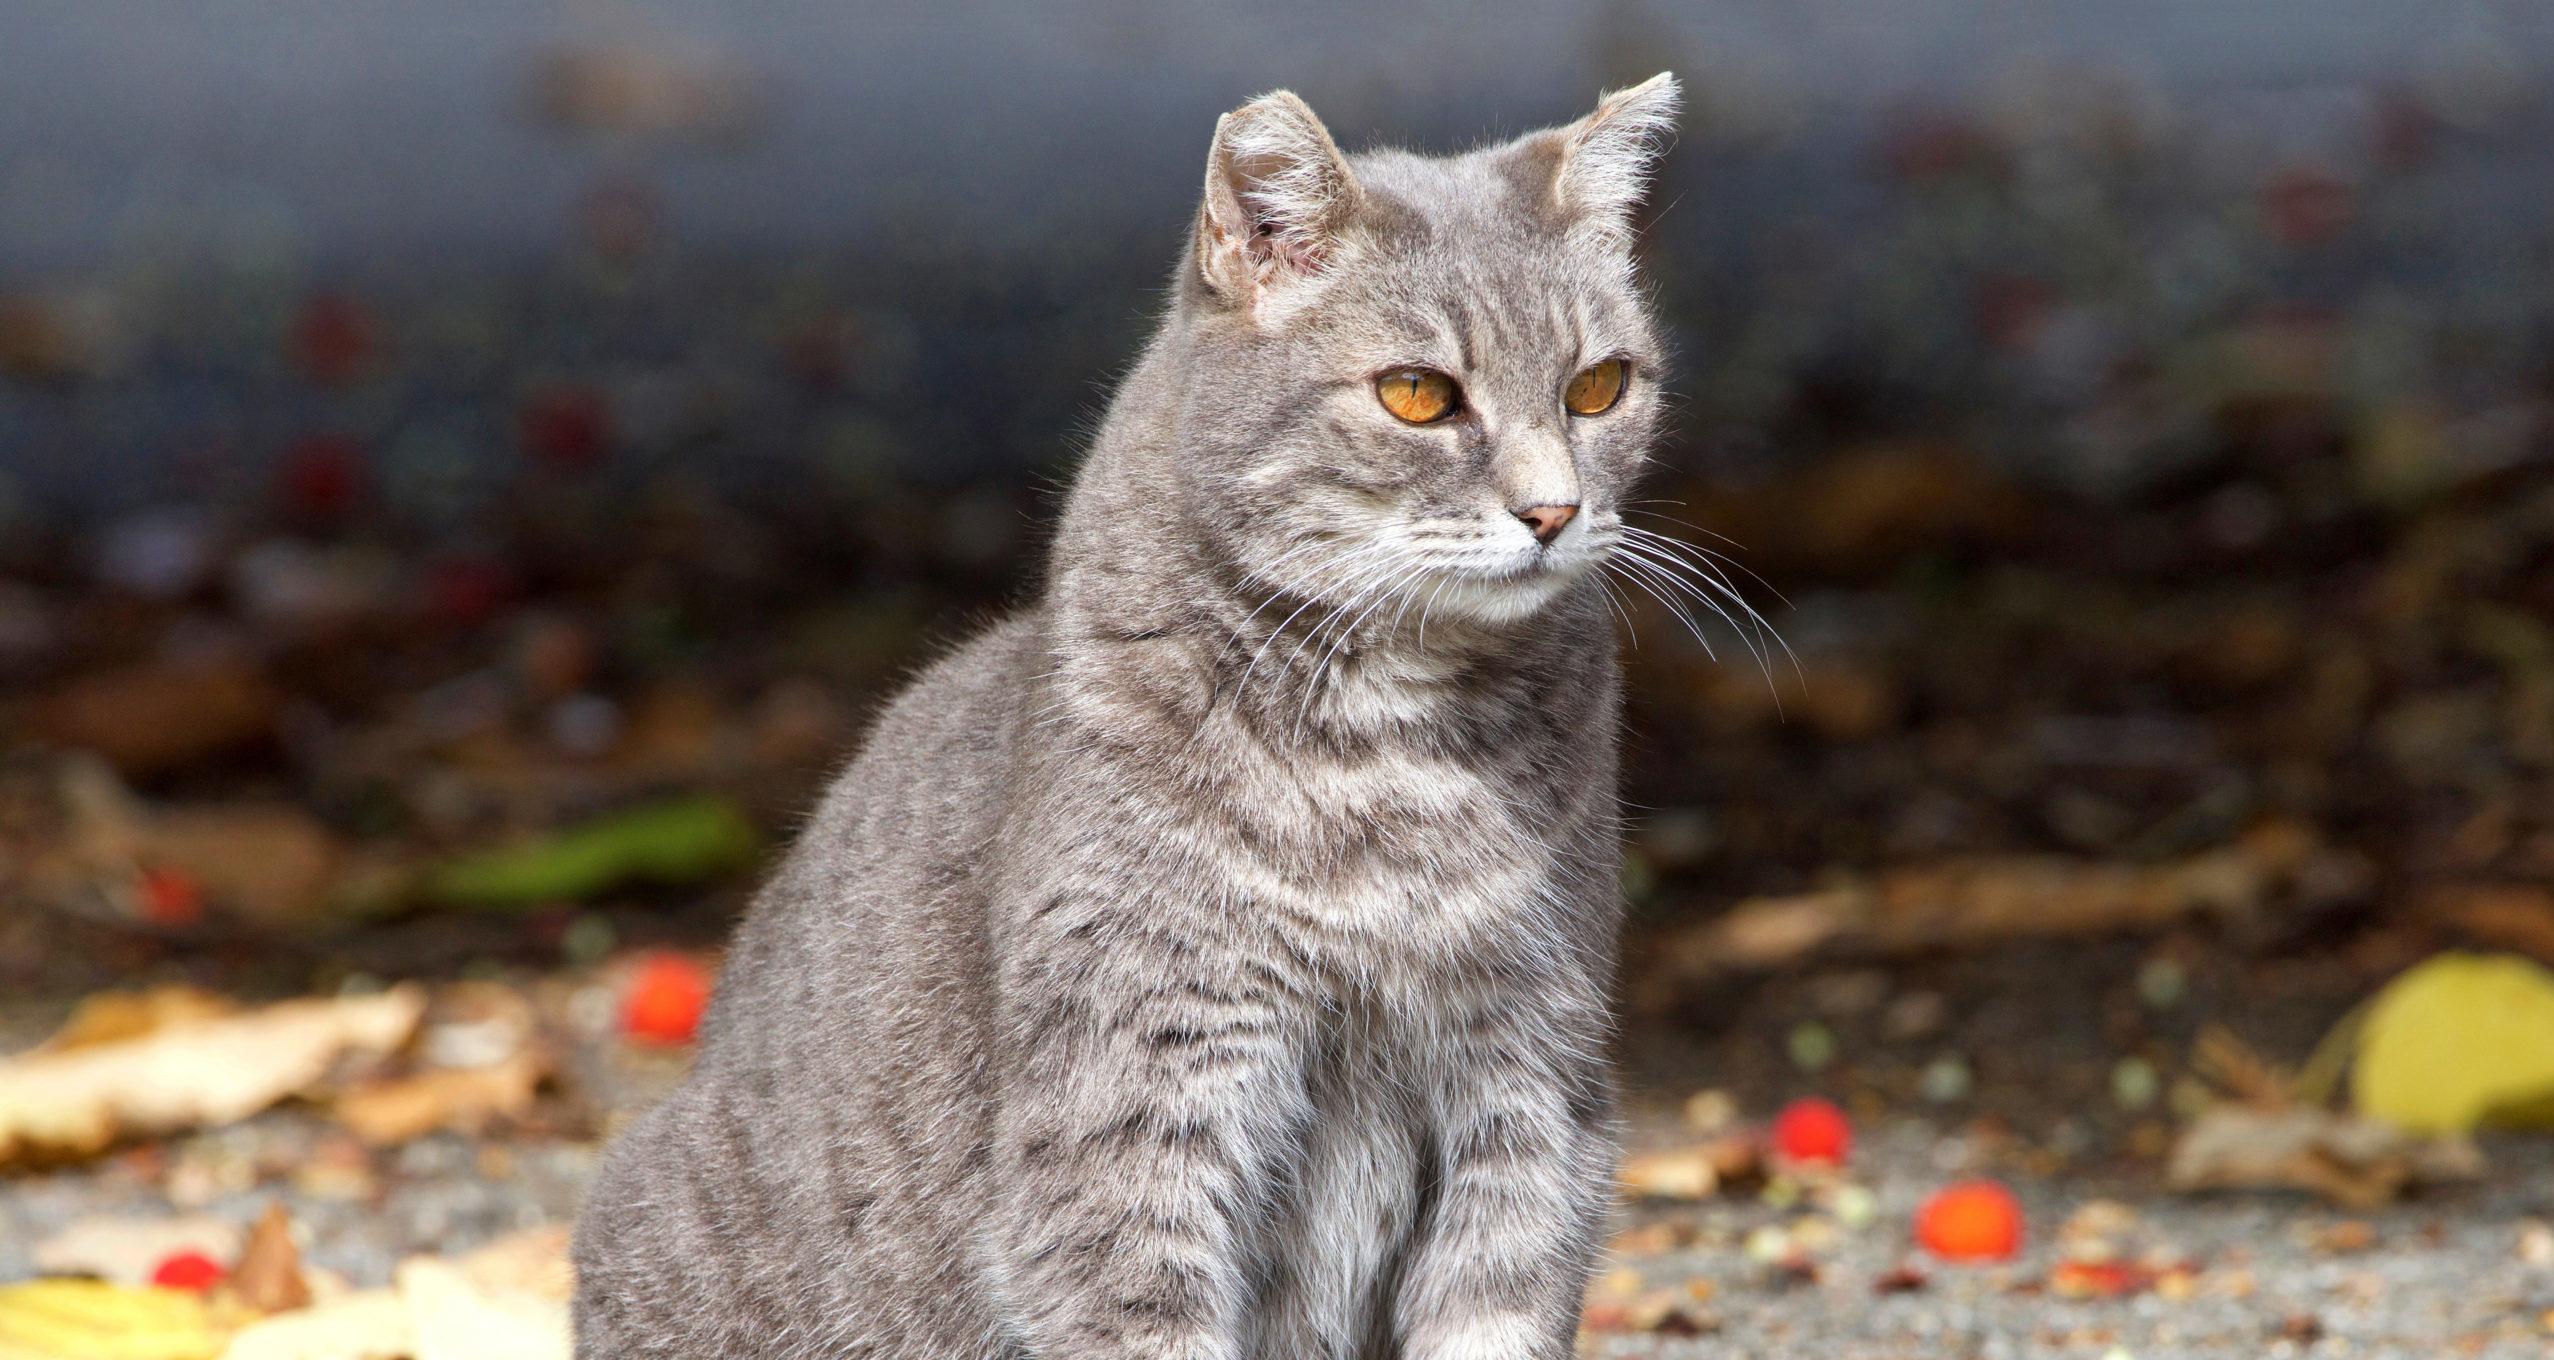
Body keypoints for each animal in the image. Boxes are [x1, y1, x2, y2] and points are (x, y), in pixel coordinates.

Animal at [579, 77, 1685, 1360]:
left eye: (1598, 386)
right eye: (1417, 395)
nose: (1554, 510)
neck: (1391, 757)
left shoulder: (1531, 1085)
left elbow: (1494, 1315)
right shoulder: (1132, 1103)